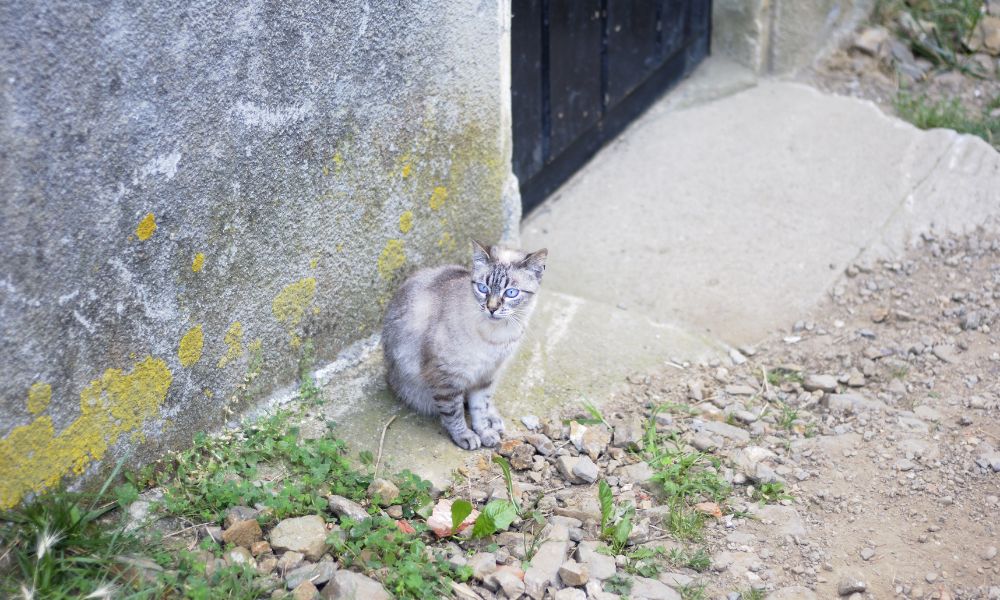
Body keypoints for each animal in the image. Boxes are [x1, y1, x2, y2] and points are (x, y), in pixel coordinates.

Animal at [380, 241, 548, 448]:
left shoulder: (487, 375)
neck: (497, 337)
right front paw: (465, 436)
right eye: (483, 288)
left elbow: (479, 408)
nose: (491, 308)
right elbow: (454, 413)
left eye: (511, 293)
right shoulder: (447, 379)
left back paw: (494, 420)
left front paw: (484, 432)